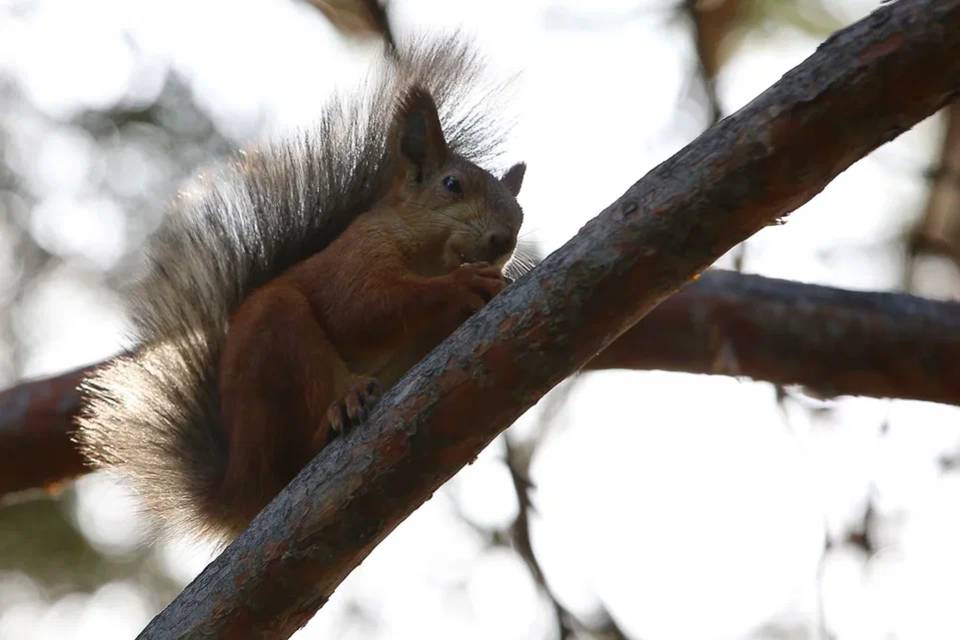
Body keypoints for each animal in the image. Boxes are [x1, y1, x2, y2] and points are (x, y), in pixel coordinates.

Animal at [74, 37, 528, 544]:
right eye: (452, 185)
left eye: (520, 214)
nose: (504, 241)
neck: (425, 254)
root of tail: (240, 493)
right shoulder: (354, 258)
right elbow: (364, 307)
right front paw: (462, 283)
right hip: (278, 340)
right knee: (292, 450)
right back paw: (340, 410)